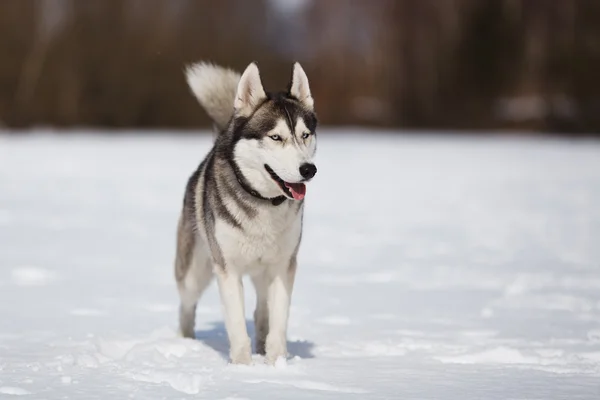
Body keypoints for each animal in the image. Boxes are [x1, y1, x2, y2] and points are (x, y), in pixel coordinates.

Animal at [173, 61, 318, 364]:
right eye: (276, 137)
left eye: (305, 135)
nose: (308, 169)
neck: (264, 203)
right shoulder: (228, 268)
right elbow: (237, 324)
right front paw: (242, 366)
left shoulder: (283, 266)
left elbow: (278, 318)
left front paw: (276, 362)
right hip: (195, 271)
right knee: (187, 305)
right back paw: (186, 342)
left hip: (263, 271)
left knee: (261, 310)